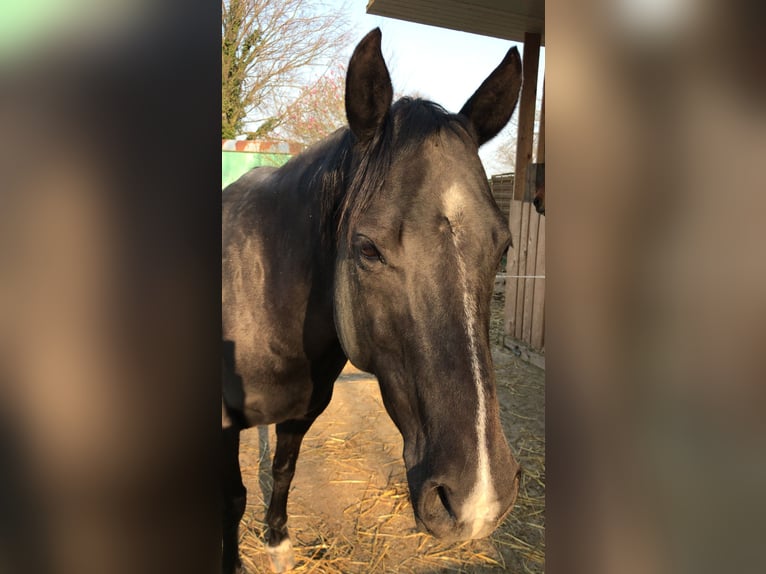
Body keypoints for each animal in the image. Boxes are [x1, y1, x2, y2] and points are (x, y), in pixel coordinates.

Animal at [222, 28, 523, 573]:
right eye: (367, 249)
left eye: (503, 246)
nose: (478, 501)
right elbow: (233, 498)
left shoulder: (302, 413)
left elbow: (284, 469)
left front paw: (277, 544)